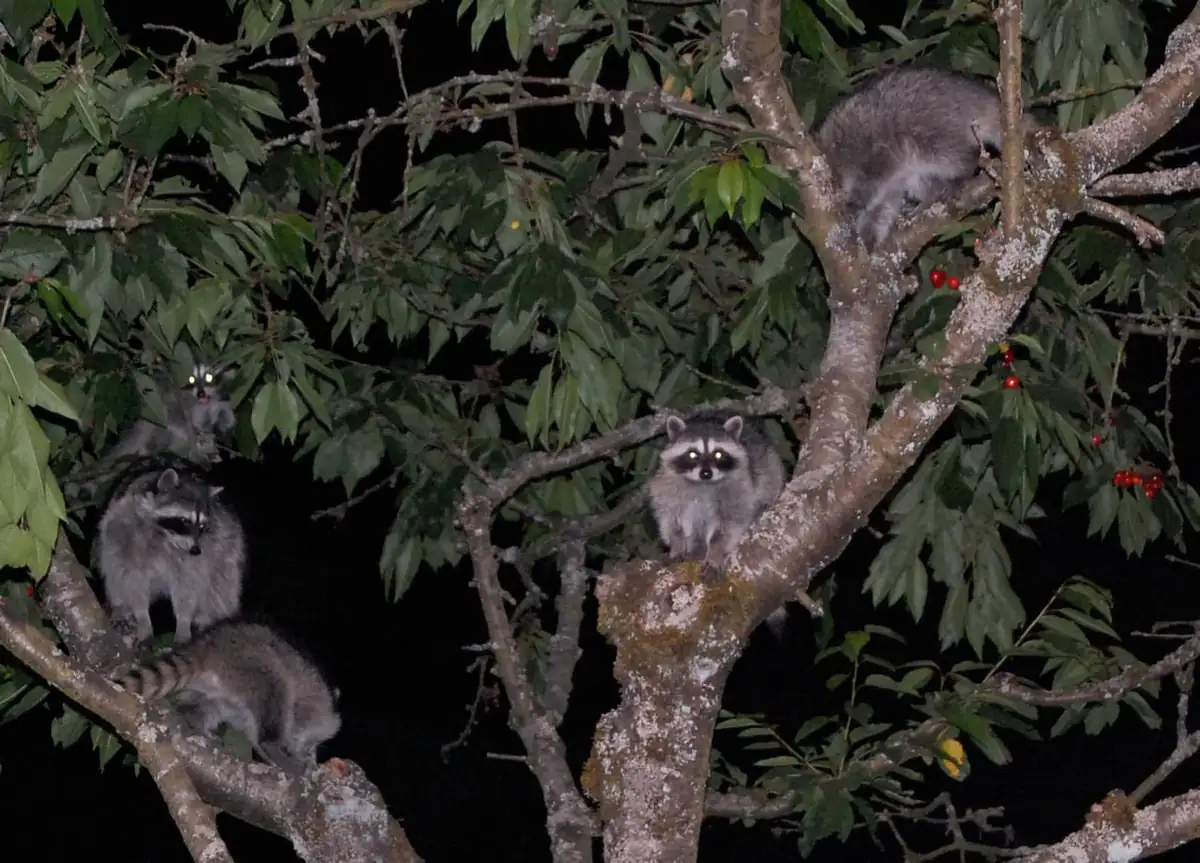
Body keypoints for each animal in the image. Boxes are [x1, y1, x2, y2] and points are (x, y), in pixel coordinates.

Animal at [93, 454, 246, 645]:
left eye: (202, 526)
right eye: (184, 522)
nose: (196, 550)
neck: (164, 536)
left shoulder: (200, 551)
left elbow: (189, 583)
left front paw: (183, 622)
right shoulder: (125, 532)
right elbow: (131, 578)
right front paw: (142, 617)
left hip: (227, 543)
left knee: (222, 580)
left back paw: (214, 616)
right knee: (114, 572)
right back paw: (122, 609)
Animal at [106, 362, 237, 467]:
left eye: (209, 378)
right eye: (193, 379)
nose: (201, 393)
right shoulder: (181, 400)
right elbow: (173, 414)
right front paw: (195, 435)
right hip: (153, 428)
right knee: (162, 431)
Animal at [115, 620, 342, 776]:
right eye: (311, 745)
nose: (308, 754)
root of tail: (208, 645)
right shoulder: (308, 703)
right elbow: (293, 716)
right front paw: (294, 754)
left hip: (219, 683)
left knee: (205, 705)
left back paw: (195, 721)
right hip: (252, 662)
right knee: (275, 690)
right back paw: (273, 746)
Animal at [648, 409, 786, 574]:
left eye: (718, 454)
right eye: (693, 454)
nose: (706, 473)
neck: (703, 484)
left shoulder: (739, 489)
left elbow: (732, 523)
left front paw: (715, 551)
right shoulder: (666, 485)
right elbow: (670, 520)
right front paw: (677, 544)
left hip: (767, 460)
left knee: (772, 475)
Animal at [812, 65, 1038, 250]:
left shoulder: (870, 147)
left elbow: (873, 181)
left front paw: (855, 202)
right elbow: (883, 207)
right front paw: (868, 235)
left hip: (931, 124)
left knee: (951, 154)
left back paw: (961, 173)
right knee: (920, 178)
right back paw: (929, 197)